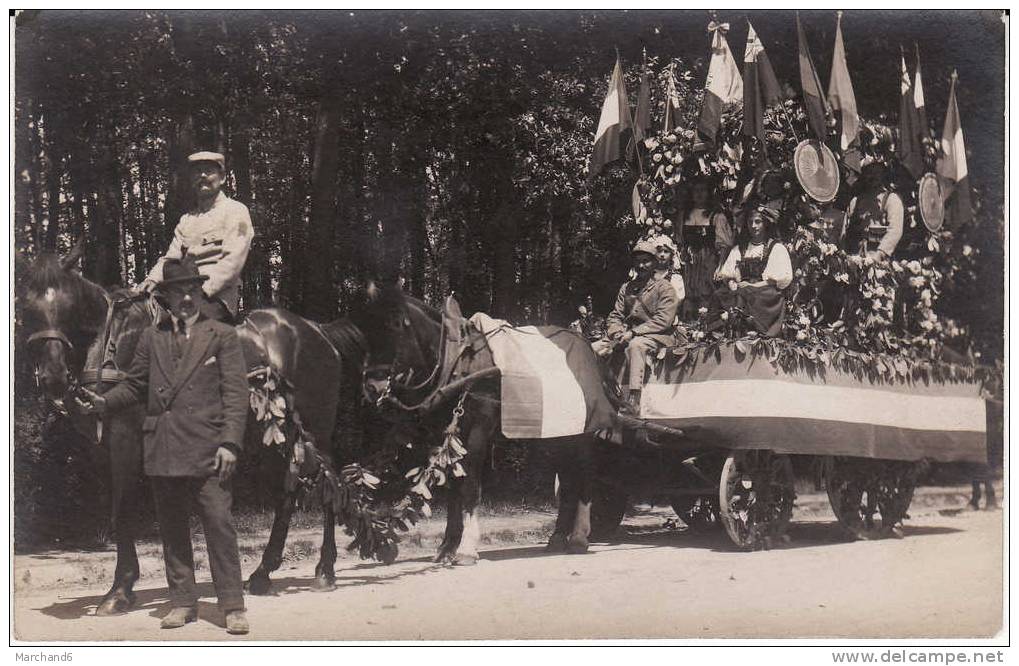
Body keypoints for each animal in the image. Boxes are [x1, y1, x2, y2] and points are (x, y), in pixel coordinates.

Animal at [17, 245, 360, 615]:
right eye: (28, 308)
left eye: (68, 305)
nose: (52, 377)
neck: (111, 341)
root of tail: (317, 330)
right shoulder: (102, 448)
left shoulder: (126, 438)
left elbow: (123, 510)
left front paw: (120, 590)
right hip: (275, 433)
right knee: (287, 493)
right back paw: (262, 573)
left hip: (316, 429)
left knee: (327, 486)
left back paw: (324, 570)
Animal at [352, 281, 611, 562]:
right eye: (365, 327)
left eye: (398, 324)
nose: (373, 386)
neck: (457, 363)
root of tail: (588, 348)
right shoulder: (444, 435)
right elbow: (453, 488)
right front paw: (447, 547)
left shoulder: (478, 430)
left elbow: (469, 487)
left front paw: (466, 547)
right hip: (555, 434)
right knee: (567, 479)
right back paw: (557, 538)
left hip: (582, 432)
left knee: (585, 474)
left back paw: (579, 538)